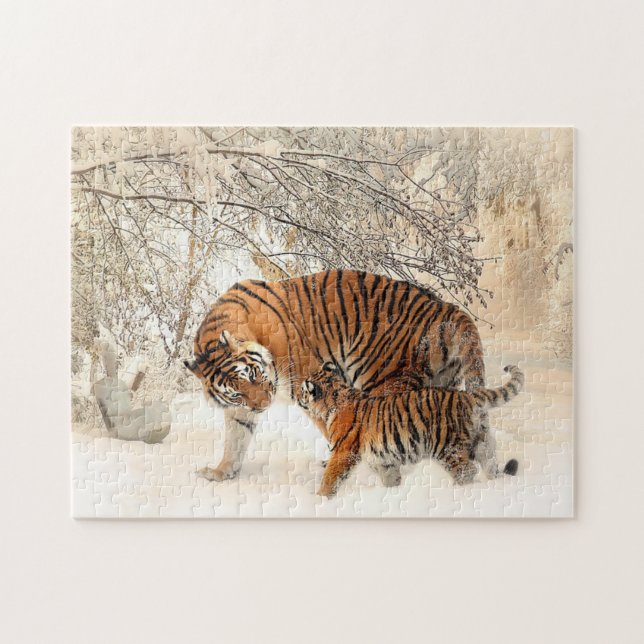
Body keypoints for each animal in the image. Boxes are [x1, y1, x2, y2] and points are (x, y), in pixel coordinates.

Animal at [184, 270, 487, 483]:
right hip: (439, 385)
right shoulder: (240, 409)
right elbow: (235, 439)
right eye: (237, 393)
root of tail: (446, 309)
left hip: (384, 380)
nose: (263, 406)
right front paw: (222, 472)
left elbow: (332, 426)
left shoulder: (309, 383)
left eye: (255, 375)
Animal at [296, 362, 524, 497]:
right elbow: (390, 477)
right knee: (490, 466)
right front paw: (392, 493)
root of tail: (467, 396)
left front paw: (321, 498)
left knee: (466, 471)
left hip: (447, 447)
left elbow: (330, 477)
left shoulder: (343, 452)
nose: (297, 397)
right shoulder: (383, 459)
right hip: (482, 442)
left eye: (302, 391)